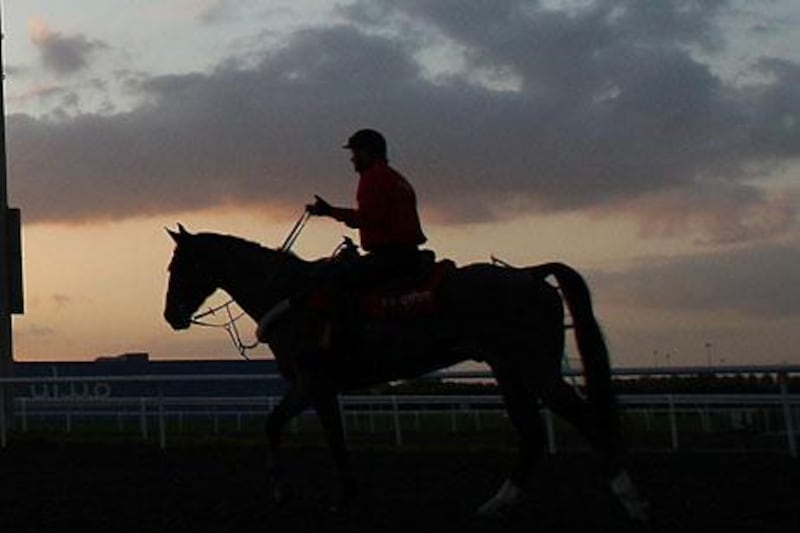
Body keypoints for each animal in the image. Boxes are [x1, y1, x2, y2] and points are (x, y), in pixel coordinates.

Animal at [162, 223, 648, 520]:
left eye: (178, 266)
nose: (171, 315)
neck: (291, 294)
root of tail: (531, 275)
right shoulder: (311, 385)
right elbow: (281, 426)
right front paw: (291, 491)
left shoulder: (316, 382)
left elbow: (321, 436)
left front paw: (335, 496)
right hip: (510, 371)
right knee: (530, 433)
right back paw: (496, 503)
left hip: (536, 369)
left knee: (585, 421)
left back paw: (631, 500)